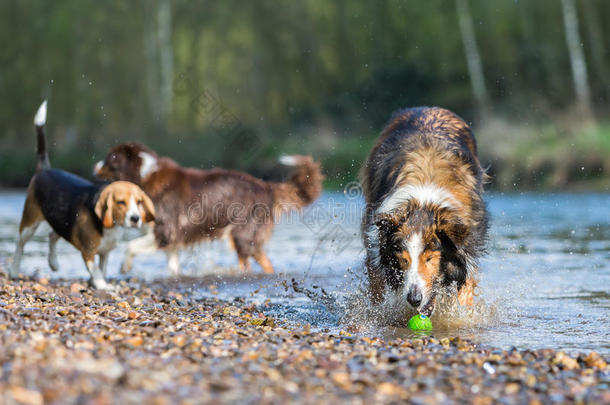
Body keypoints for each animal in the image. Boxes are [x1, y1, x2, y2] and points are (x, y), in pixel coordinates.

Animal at [10, 102, 154, 288]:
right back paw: (14, 270)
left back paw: (53, 263)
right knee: (20, 244)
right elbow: (97, 270)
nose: (135, 219)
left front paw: (95, 282)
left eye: (139, 201)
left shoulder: (105, 253)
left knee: (52, 235)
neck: (111, 226)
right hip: (30, 222)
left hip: (61, 221)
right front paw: (102, 285)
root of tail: (45, 169)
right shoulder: (88, 252)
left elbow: (102, 267)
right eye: (121, 202)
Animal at [94, 142, 324, 274]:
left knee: (255, 263)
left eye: (110, 158)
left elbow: (130, 247)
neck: (143, 174)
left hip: (243, 235)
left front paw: (124, 267)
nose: (95, 167)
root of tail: (266, 186)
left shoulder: (165, 233)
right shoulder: (172, 242)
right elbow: (173, 267)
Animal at [358, 106, 486, 316]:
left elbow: (464, 290)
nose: (414, 299)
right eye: (403, 259)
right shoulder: (375, 246)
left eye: (430, 258)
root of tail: (429, 108)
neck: (423, 202)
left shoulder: (467, 251)